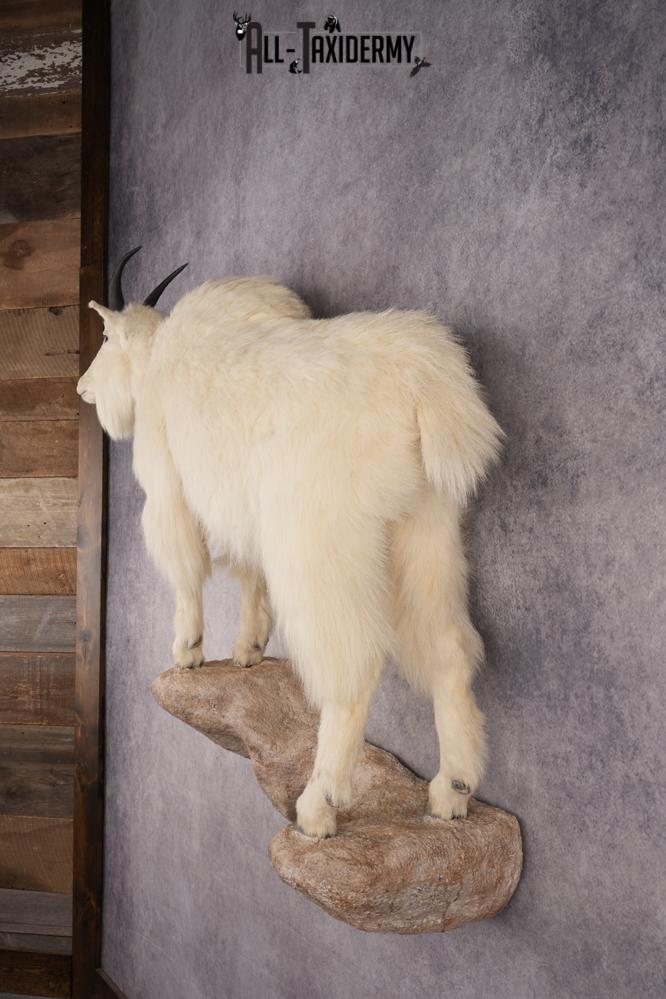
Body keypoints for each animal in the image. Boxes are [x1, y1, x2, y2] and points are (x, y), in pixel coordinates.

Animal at [77, 248, 503, 837]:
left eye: (103, 336)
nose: (82, 388)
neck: (158, 359)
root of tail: (423, 382)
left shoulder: (167, 486)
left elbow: (187, 570)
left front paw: (188, 652)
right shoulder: (249, 516)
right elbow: (250, 578)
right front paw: (248, 652)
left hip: (320, 543)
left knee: (351, 670)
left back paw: (318, 807)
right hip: (425, 529)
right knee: (450, 650)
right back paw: (451, 793)